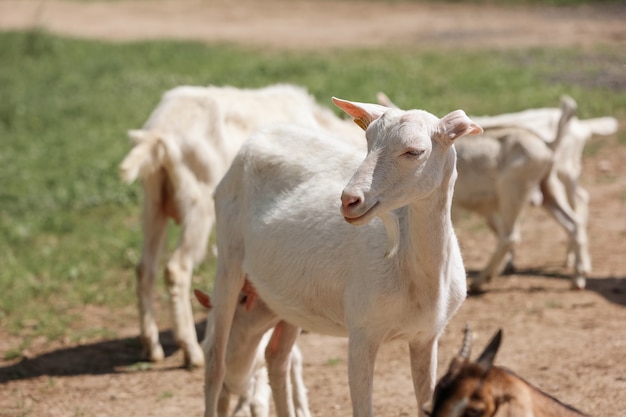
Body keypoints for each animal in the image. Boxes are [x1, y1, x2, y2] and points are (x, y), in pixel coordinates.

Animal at [119, 83, 360, 366]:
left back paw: (152, 347)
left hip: (152, 200)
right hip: (197, 203)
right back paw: (191, 350)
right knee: (176, 268)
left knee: (145, 268)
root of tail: (160, 132)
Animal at [193, 288, 310, 417]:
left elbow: (257, 404)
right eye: (245, 299)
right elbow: (222, 405)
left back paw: (302, 409)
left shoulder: (261, 370)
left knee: (295, 357)